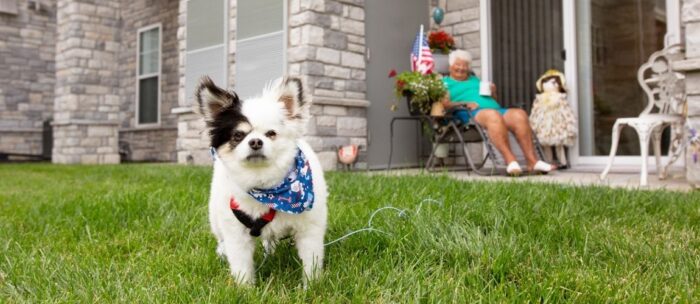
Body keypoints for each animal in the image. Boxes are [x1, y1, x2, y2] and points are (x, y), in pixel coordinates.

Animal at [194, 75, 328, 284]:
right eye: (238, 135)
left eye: (271, 133)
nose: (255, 141)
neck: (266, 188)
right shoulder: (236, 232)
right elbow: (240, 263)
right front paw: (245, 288)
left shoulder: (310, 227)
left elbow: (311, 259)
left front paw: (311, 285)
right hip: (216, 217)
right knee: (221, 238)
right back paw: (222, 252)